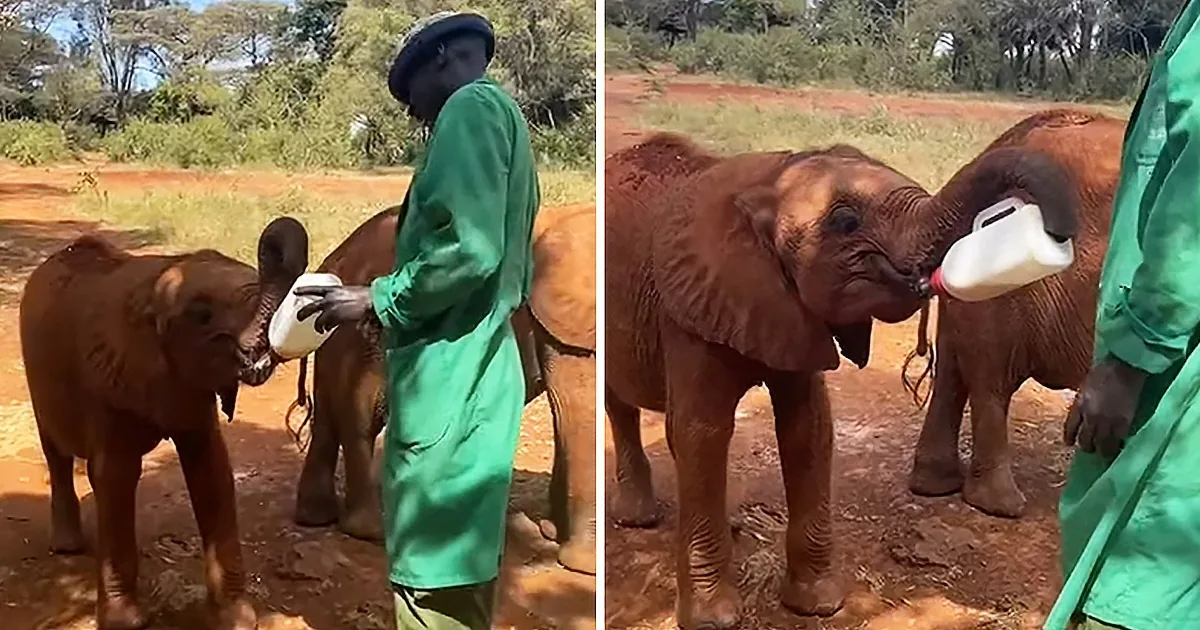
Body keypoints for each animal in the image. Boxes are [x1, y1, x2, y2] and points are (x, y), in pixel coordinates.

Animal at [19, 217, 309, 630]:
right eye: (202, 315)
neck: (156, 282)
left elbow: (212, 470)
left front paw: (237, 619)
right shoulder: (108, 378)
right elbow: (115, 476)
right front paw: (125, 624)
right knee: (55, 451)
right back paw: (67, 547)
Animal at [603, 131, 1077, 629]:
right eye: (846, 222)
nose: (1049, 230)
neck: (770, 179)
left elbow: (808, 429)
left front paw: (819, 605)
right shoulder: (688, 310)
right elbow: (702, 433)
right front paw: (715, 621)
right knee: (620, 406)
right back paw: (637, 519)